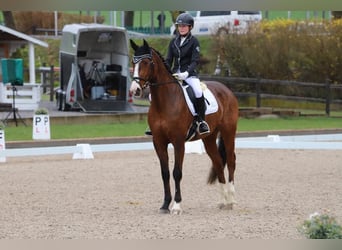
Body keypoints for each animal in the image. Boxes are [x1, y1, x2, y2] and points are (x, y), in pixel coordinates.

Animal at [130, 39, 239, 215]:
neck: (164, 101)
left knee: (230, 161)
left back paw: (232, 201)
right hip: (209, 138)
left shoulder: (178, 142)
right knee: (217, 162)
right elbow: (165, 173)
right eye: (134, 62)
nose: (135, 89)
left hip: (229, 131)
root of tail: (226, 89)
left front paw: (177, 205)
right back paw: (223, 201)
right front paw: (165, 205)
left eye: (146, 62)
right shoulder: (158, 142)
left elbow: (177, 173)